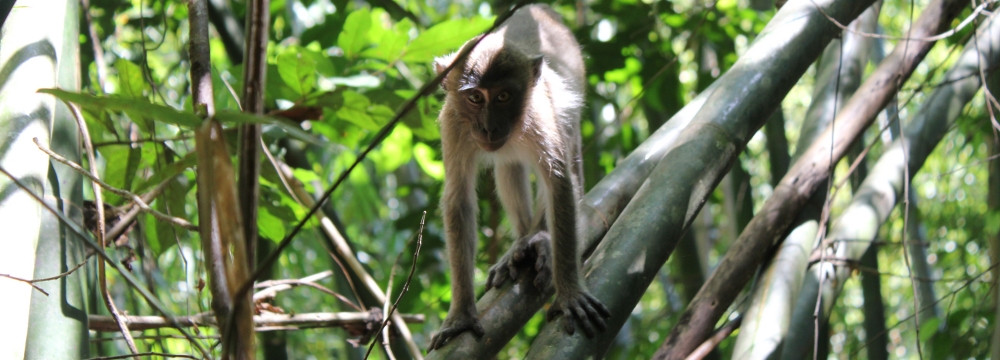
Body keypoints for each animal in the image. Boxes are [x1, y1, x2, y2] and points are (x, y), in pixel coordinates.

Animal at [428, 4, 608, 350]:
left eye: (503, 96)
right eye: (474, 98)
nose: (489, 128)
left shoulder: (539, 114)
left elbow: (558, 181)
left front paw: (569, 293)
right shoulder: (453, 123)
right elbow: (458, 198)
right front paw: (461, 316)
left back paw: (539, 239)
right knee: (508, 166)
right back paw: (523, 240)